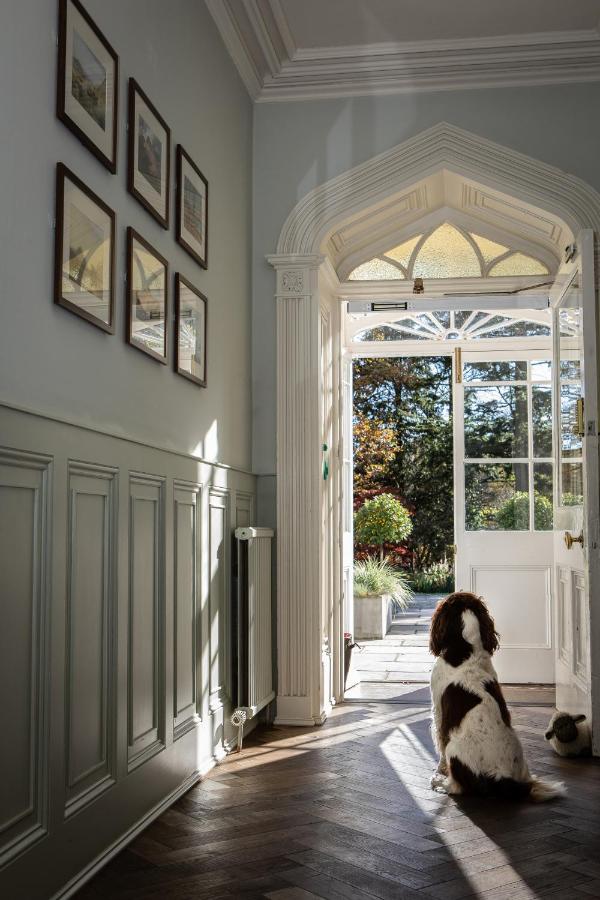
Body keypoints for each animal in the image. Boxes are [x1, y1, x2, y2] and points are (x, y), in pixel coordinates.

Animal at [428, 592, 564, 800]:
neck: (468, 649)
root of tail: (501, 776)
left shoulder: (438, 709)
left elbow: (439, 742)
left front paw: (439, 770)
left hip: (454, 748)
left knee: (459, 787)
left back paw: (441, 783)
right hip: (521, 763)